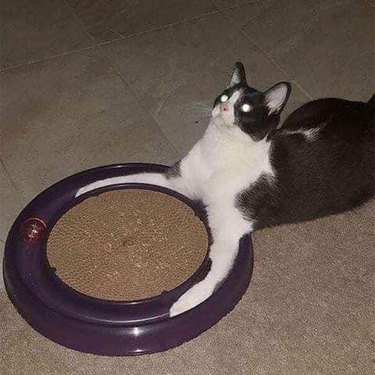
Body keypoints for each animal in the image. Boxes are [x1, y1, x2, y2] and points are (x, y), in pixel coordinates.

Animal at [75, 61, 374, 318]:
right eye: (224, 96)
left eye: (245, 107)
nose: (223, 107)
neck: (219, 152)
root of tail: (368, 109)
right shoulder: (178, 181)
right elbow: (136, 176)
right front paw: (88, 188)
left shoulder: (229, 228)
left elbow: (215, 275)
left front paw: (184, 303)